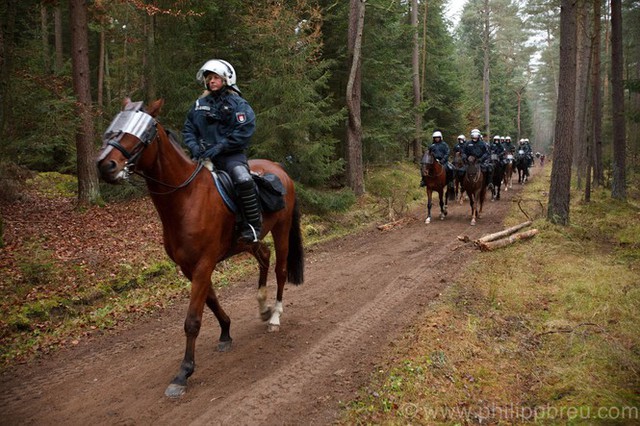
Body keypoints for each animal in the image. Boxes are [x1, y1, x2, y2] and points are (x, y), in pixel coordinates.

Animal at [95, 98, 304, 398]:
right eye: (116, 124)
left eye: (144, 132)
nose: (105, 165)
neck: (186, 198)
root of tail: (280, 170)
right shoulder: (189, 267)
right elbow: (212, 301)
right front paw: (226, 333)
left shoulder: (204, 264)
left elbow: (192, 319)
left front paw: (183, 373)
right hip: (248, 241)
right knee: (264, 256)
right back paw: (263, 306)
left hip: (282, 229)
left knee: (281, 270)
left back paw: (275, 316)